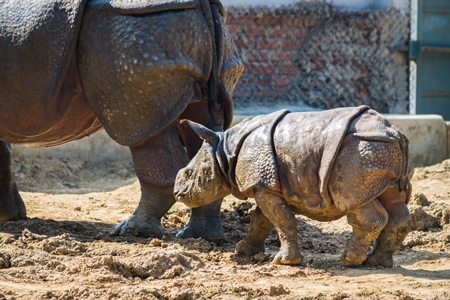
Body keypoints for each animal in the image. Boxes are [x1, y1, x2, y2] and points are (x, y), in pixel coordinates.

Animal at [0, 0, 244, 240]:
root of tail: (204, 5)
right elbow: (4, 153)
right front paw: (11, 215)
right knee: (203, 128)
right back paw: (199, 236)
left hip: (134, 35)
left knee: (143, 132)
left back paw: (132, 230)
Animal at [174, 106, 414, 268]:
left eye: (190, 174)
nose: (177, 193)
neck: (224, 151)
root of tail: (397, 135)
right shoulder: (266, 185)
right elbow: (261, 220)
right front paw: (243, 251)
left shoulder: (263, 182)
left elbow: (281, 220)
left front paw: (284, 262)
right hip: (379, 150)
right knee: (394, 203)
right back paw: (377, 263)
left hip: (360, 151)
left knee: (352, 200)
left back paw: (349, 260)